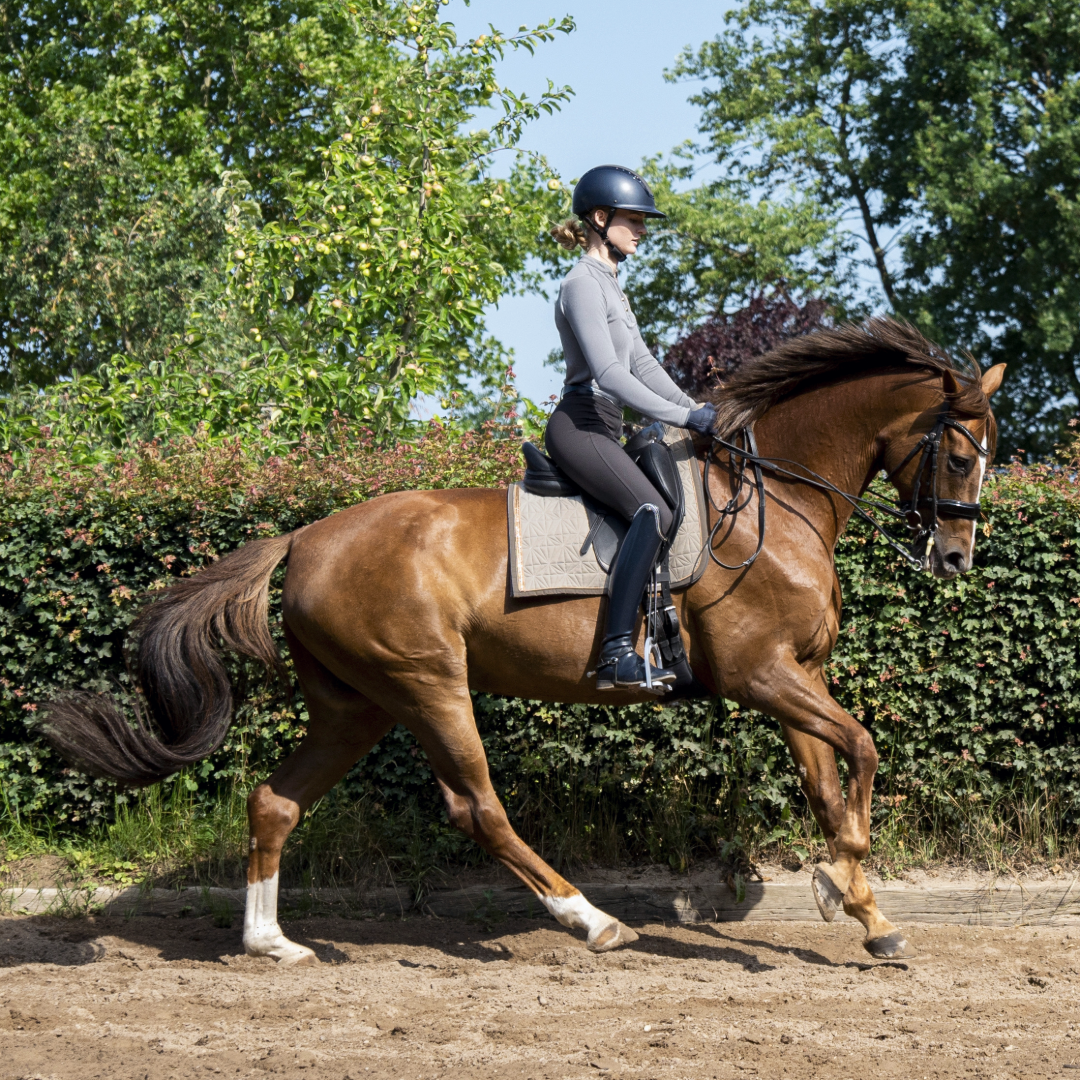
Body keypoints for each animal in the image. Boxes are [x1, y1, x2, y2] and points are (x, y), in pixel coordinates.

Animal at [43, 318, 1005, 967]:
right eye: (961, 457)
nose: (955, 558)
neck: (774, 501)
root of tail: (305, 537)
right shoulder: (761, 674)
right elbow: (865, 749)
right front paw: (840, 885)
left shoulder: (795, 675)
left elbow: (829, 783)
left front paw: (866, 912)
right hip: (428, 683)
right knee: (478, 808)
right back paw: (592, 921)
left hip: (356, 705)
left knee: (275, 802)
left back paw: (270, 942)